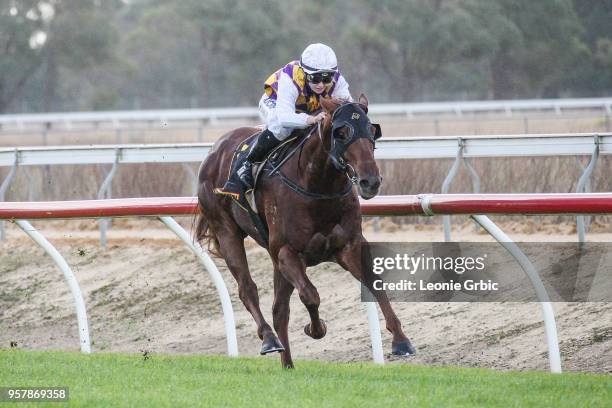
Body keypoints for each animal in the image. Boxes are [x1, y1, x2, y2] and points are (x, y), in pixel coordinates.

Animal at [197, 94, 416, 368]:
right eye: (342, 132)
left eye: (372, 130)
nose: (370, 181)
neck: (317, 186)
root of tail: (214, 150)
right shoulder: (287, 252)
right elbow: (310, 295)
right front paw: (316, 328)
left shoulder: (348, 246)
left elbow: (374, 283)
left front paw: (401, 340)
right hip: (226, 231)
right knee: (248, 289)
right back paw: (269, 340)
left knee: (279, 309)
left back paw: (288, 364)